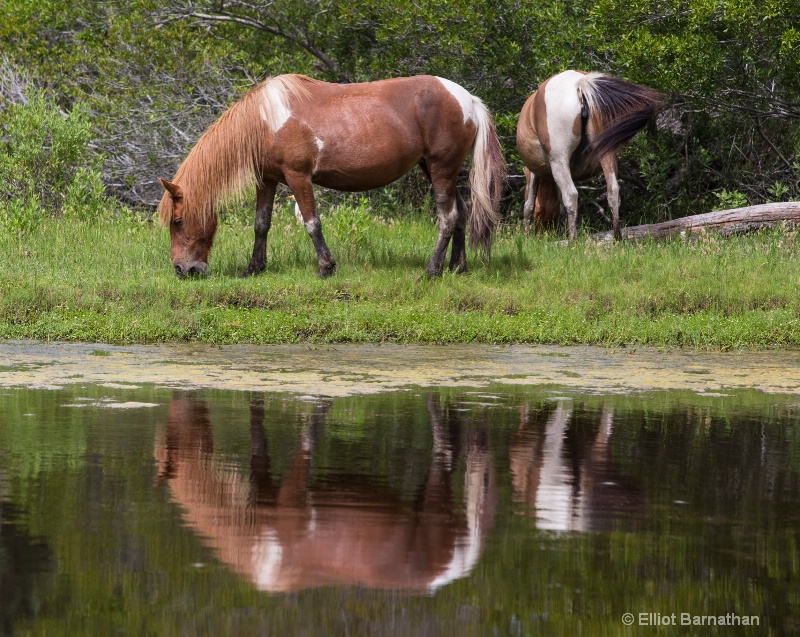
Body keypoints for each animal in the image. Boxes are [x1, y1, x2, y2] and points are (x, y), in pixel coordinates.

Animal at [159, 73, 504, 278]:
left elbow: (312, 223)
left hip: (441, 169)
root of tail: (467, 100)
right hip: (434, 169)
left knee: (448, 216)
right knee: (461, 212)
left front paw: (326, 267)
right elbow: (261, 224)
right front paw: (254, 268)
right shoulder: (267, 180)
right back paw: (457, 266)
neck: (266, 121)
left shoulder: (298, 177)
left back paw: (432, 270)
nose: (182, 268)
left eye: (178, 221)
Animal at [516, 70, 660, 241]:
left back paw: (572, 241)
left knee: (571, 195)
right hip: (607, 153)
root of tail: (580, 83)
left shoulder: (532, 172)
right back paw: (617, 238)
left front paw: (525, 236)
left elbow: (529, 204)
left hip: (559, 161)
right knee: (613, 191)